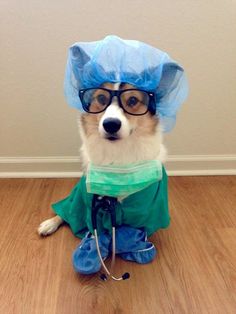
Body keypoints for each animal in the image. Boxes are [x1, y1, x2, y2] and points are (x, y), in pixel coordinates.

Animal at [37, 82, 166, 237]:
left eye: (133, 100)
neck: (117, 152)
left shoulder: (146, 209)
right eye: (101, 98)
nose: (111, 124)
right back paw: (49, 224)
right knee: (66, 209)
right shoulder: (90, 205)